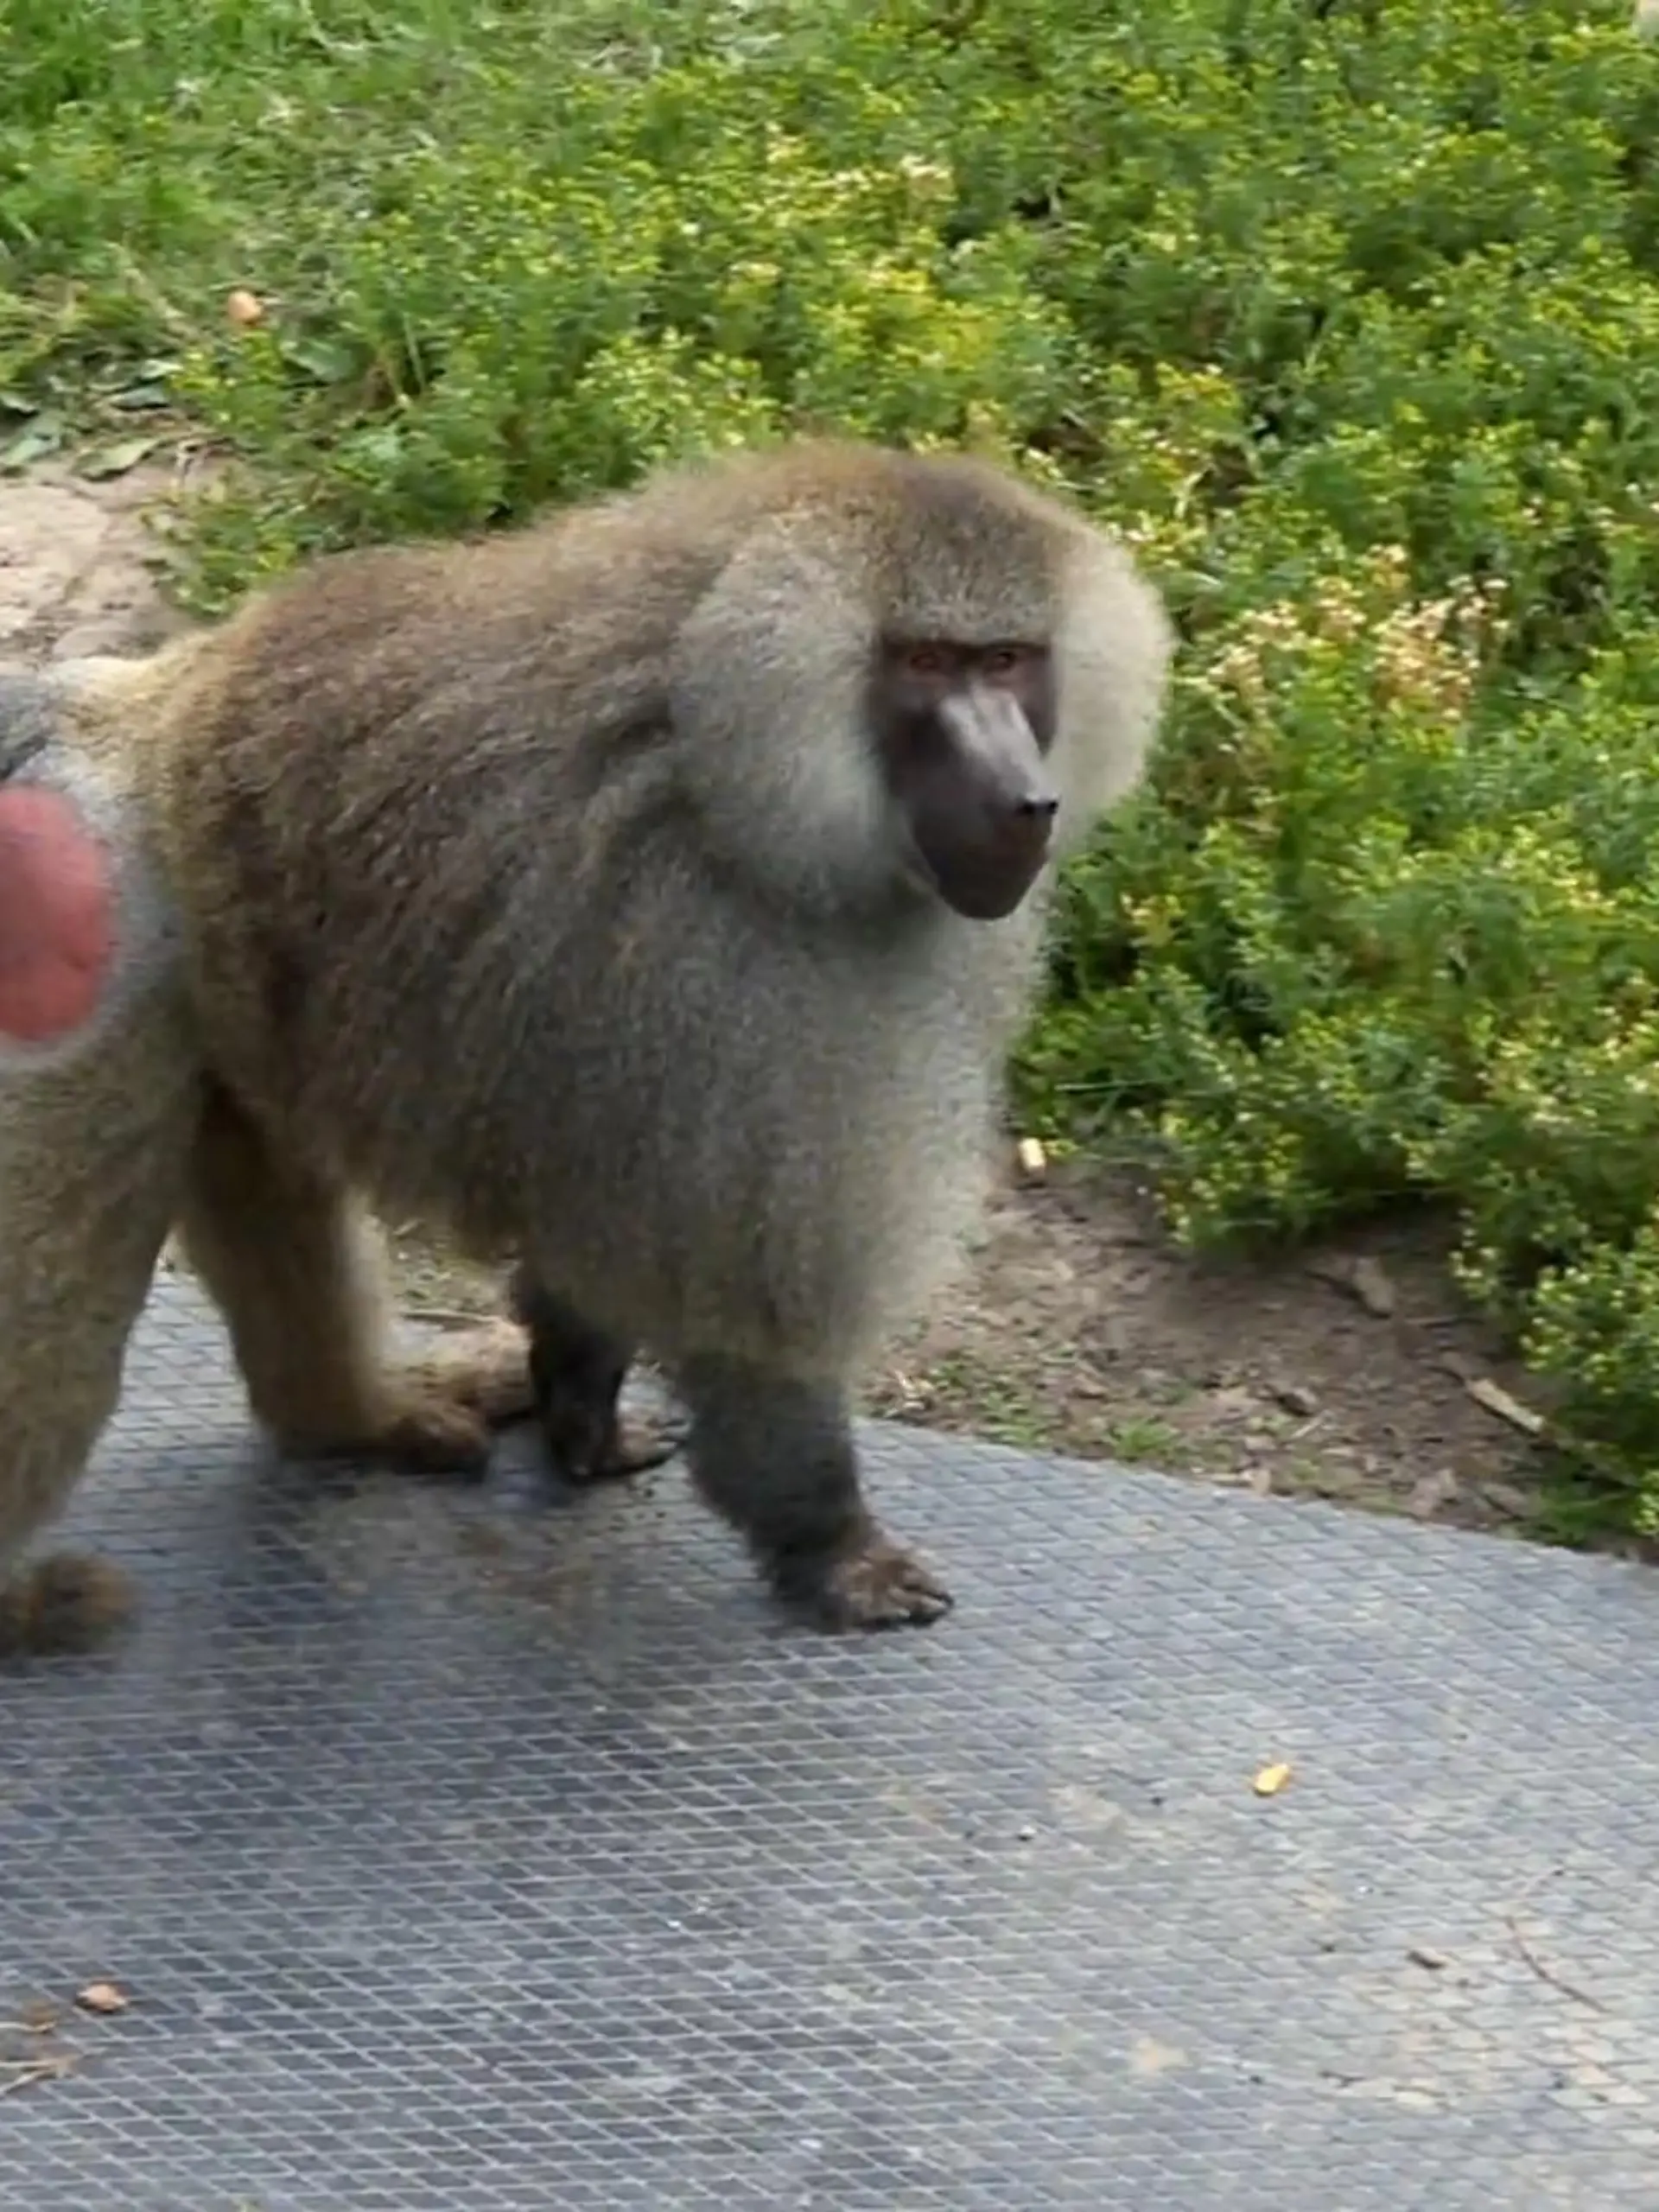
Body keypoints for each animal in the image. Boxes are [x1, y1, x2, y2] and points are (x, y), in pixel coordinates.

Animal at [32, 437, 1171, 1636]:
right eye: (924, 663)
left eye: (1007, 660)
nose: (1024, 802)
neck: (714, 743)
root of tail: (131, 707)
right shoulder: (722, 970)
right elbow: (741, 1297)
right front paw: (830, 1542)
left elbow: (605, 1230)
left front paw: (581, 1408)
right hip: (88, 936)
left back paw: (348, 1417)